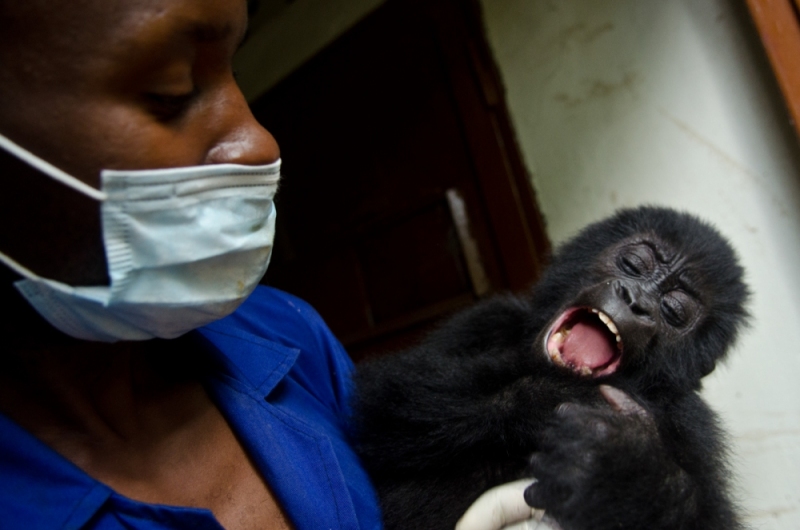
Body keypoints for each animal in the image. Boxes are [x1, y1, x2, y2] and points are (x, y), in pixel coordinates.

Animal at [350, 205, 752, 528]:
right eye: (635, 264)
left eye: (674, 311)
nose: (634, 300)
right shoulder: (485, 319)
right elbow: (380, 395)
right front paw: (548, 396)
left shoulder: (691, 420)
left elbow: (709, 517)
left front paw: (625, 469)